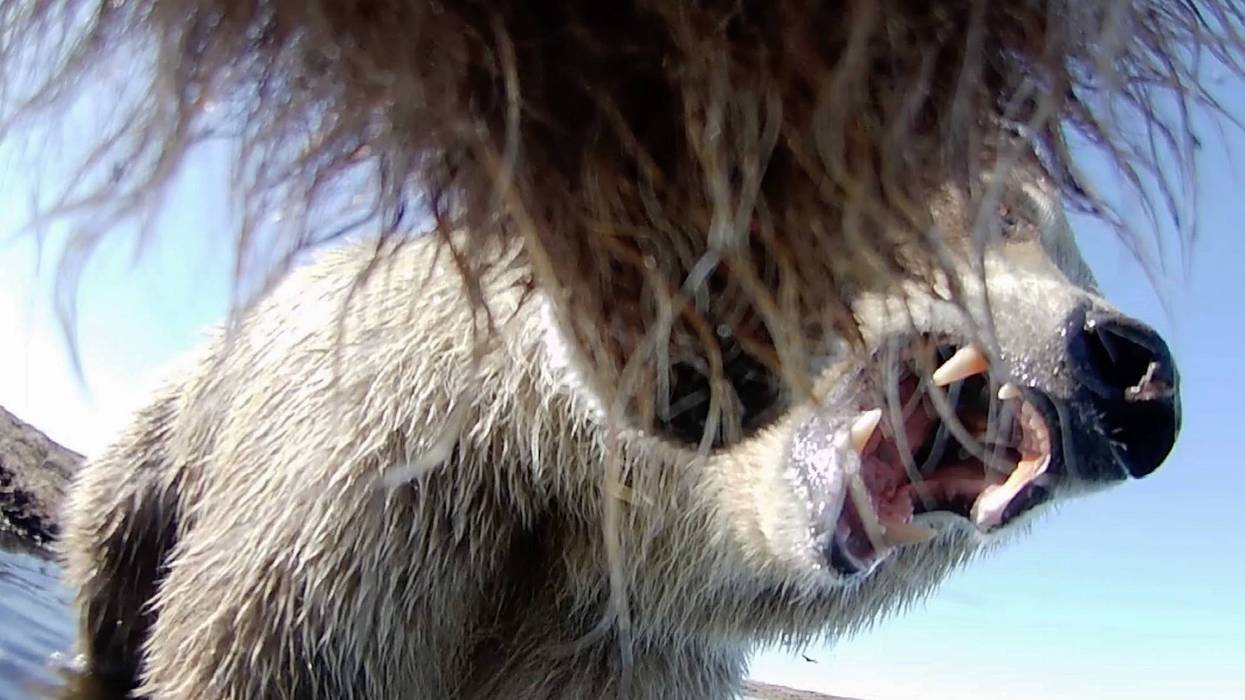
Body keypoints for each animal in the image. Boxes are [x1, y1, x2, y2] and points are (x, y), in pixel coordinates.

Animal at [0, 1, 1225, 698]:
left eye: (1074, 248)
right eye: (1013, 212)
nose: (1138, 374)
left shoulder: (619, 647)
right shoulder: (373, 506)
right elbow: (266, 653)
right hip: (175, 433)